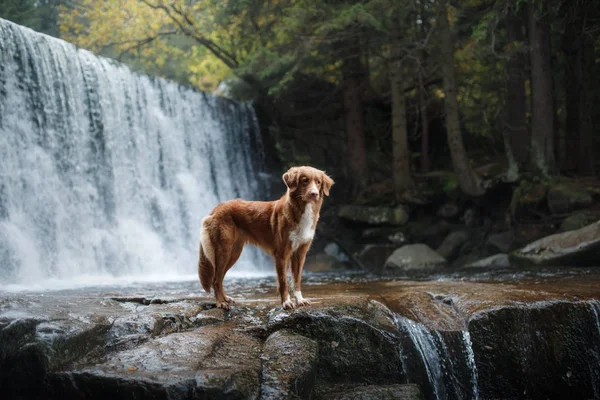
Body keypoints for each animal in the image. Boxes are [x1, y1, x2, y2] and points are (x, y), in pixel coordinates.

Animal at [200, 166, 332, 310]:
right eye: (305, 180)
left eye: (318, 182)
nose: (314, 194)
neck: (300, 210)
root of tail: (217, 208)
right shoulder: (281, 254)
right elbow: (284, 281)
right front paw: (286, 302)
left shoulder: (300, 253)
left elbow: (296, 279)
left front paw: (299, 300)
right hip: (224, 250)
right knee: (216, 279)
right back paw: (220, 302)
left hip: (234, 252)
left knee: (220, 277)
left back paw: (225, 298)